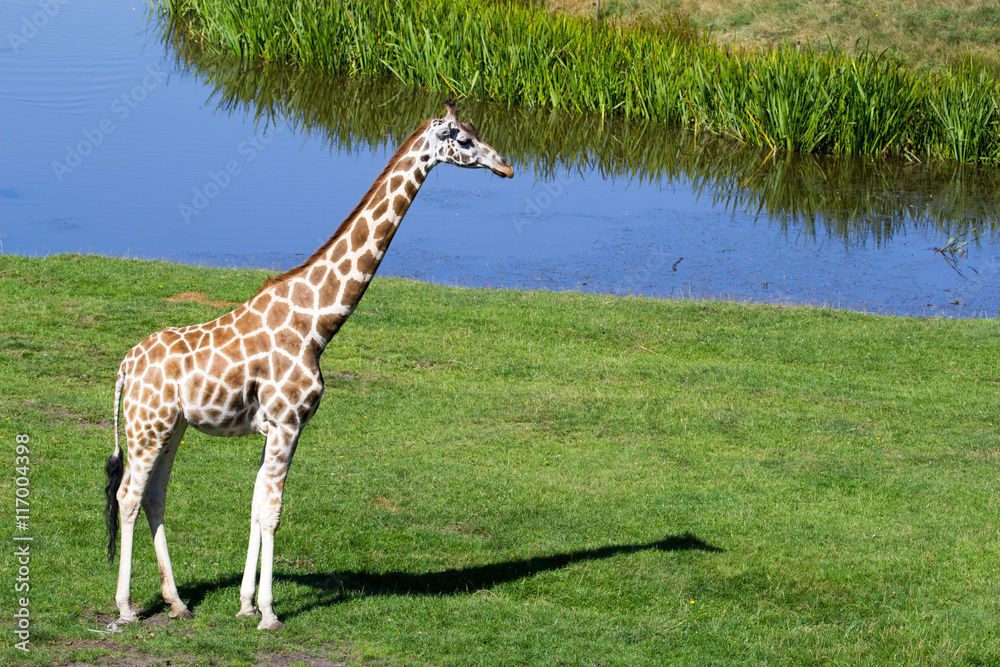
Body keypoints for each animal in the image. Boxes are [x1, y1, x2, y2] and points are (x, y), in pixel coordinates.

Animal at [104, 101, 513, 631]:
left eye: (476, 131)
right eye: (463, 139)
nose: (506, 165)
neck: (317, 322)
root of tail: (124, 366)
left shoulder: (275, 427)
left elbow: (256, 505)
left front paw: (245, 604)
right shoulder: (289, 422)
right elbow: (273, 511)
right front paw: (269, 614)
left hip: (171, 427)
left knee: (155, 496)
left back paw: (176, 601)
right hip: (146, 427)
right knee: (127, 497)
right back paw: (126, 608)